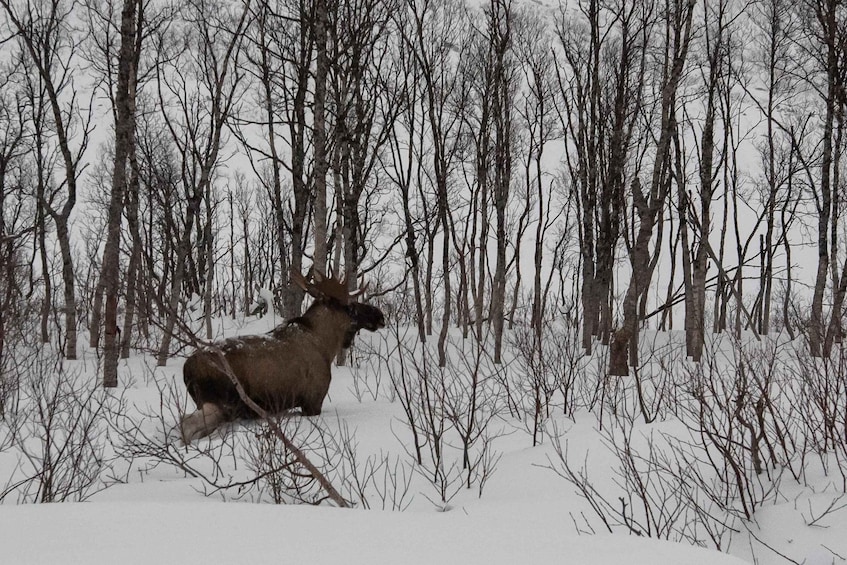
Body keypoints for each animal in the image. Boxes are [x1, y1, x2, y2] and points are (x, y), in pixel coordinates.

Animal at [184, 270, 390, 442]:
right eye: (350, 306)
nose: (379, 315)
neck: (326, 346)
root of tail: (187, 369)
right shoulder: (313, 400)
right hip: (220, 404)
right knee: (186, 426)